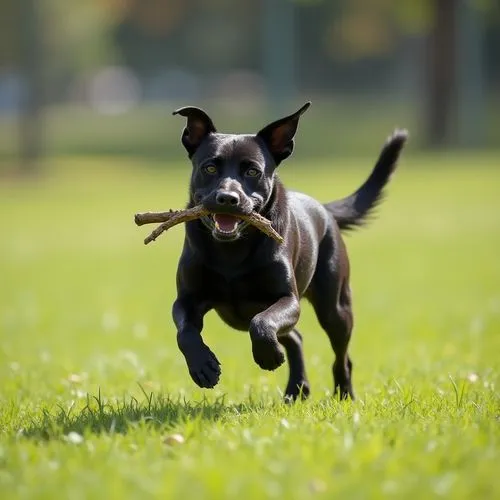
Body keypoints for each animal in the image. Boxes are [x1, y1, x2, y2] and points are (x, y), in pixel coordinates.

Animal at [171, 102, 406, 402]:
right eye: (210, 167)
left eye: (252, 172)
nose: (227, 199)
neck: (232, 250)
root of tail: (325, 210)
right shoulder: (187, 300)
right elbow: (185, 333)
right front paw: (203, 367)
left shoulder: (287, 300)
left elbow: (262, 323)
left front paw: (268, 356)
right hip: (237, 316)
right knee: (296, 338)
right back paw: (297, 388)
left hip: (336, 309)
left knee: (341, 356)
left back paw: (343, 394)